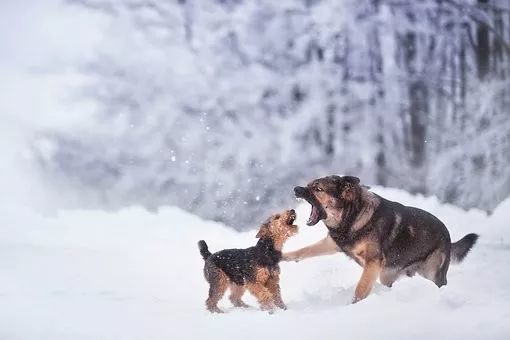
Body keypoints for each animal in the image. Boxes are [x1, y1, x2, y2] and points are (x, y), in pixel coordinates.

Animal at [282, 175, 478, 302]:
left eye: (318, 189)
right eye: (308, 185)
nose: (296, 189)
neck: (354, 215)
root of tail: (449, 239)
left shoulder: (373, 261)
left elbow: (360, 289)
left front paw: (353, 305)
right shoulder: (333, 244)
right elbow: (304, 250)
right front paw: (282, 255)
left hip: (431, 273)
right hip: (386, 275)